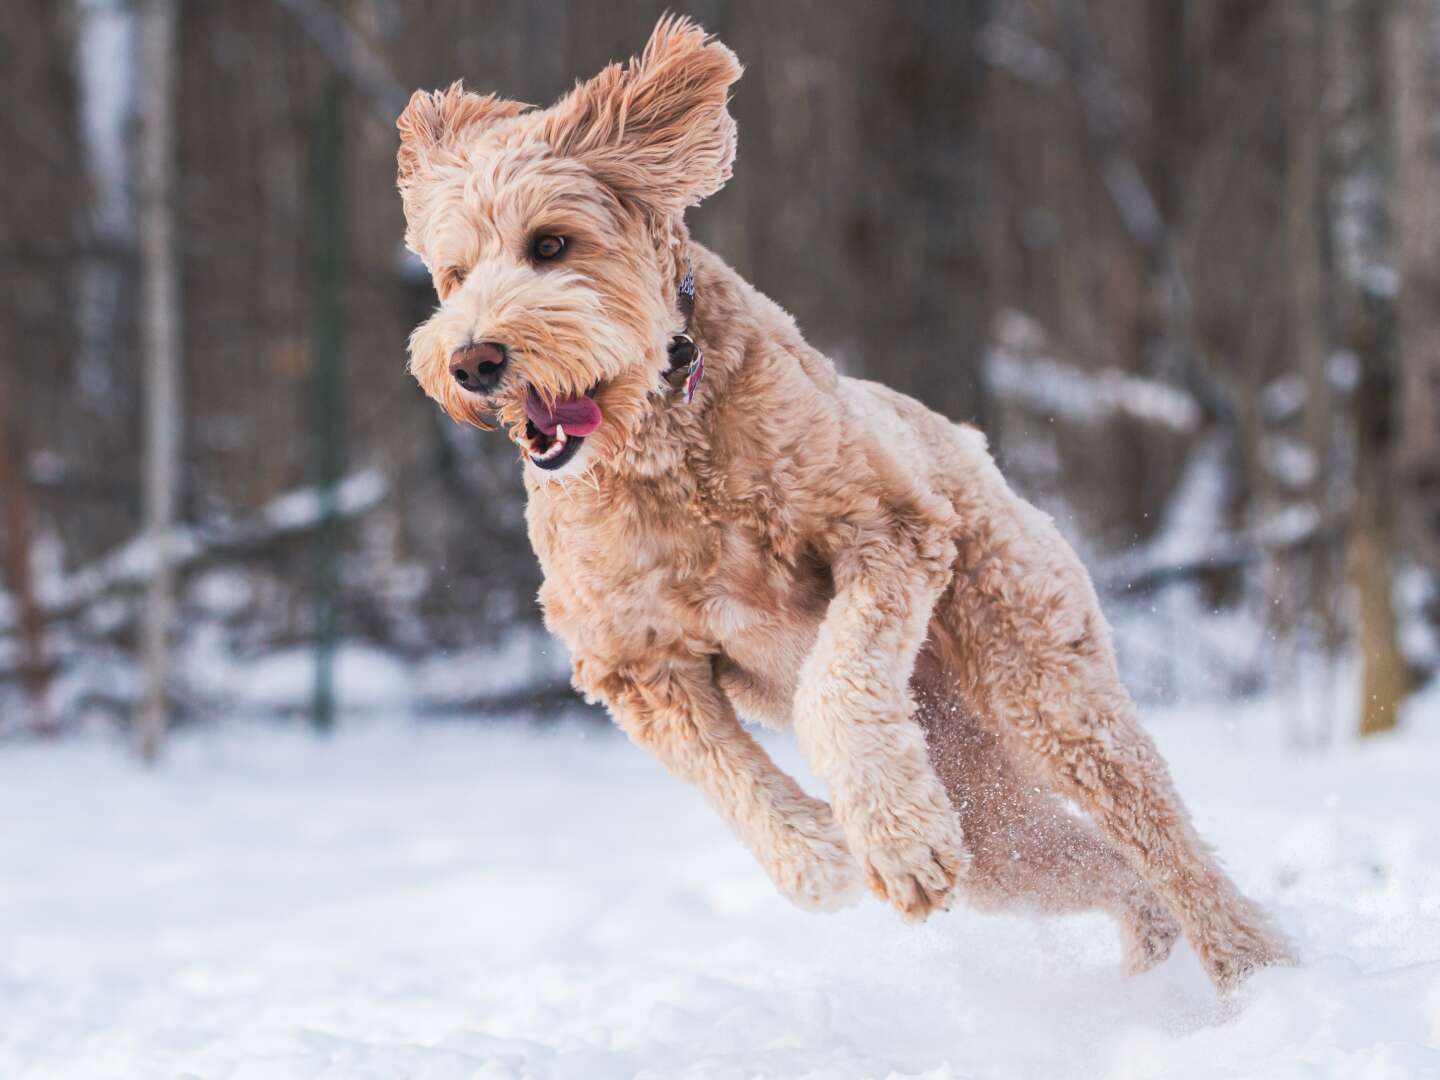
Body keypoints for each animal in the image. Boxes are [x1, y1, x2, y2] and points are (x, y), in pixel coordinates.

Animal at [397, 19, 1296, 996]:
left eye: (552, 245)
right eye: (452, 274)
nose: (473, 360)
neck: (664, 451)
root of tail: (978, 447)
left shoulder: (889, 531)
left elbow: (839, 679)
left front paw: (893, 840)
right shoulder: (632, 658)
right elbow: (722, 770)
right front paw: (818, 854)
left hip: (1041, 684)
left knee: (1165, 843)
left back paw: (1257, 976)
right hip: (991, 818)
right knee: (1110, 871)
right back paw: (1145, 955)